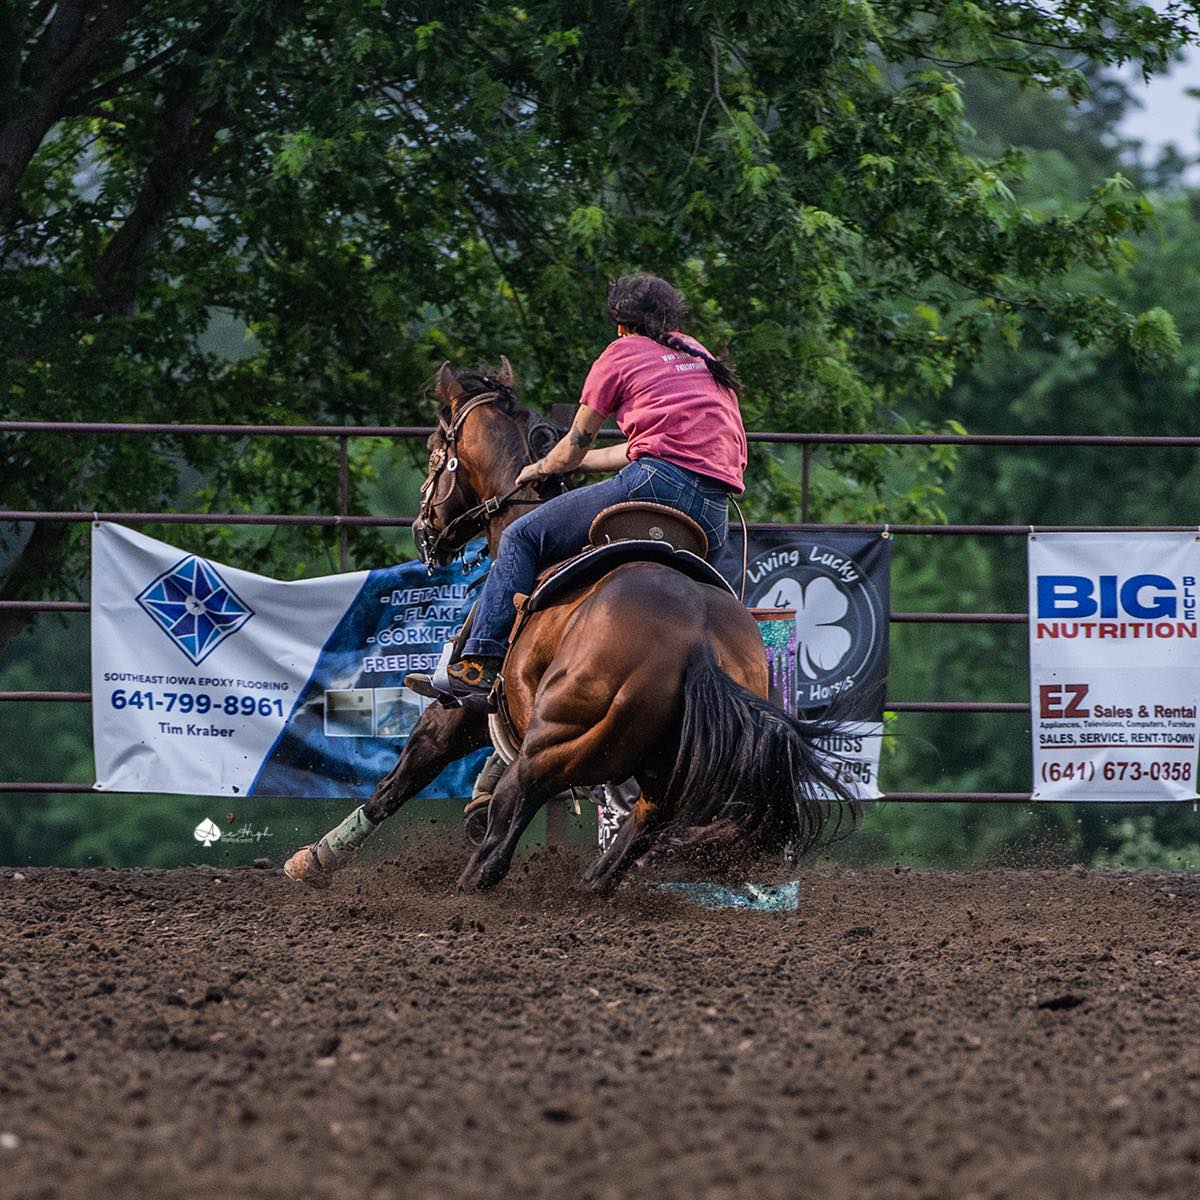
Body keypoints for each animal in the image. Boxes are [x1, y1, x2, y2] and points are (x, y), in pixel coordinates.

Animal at [283, 359, 855, 893]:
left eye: (433, 447)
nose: (423, 529)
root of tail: (697, 642)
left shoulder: (458, 711)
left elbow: (398, 781)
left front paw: (314, 860)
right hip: (657, 772)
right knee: (634, 833)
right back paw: (586, 887)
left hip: (554, 744)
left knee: (502, 835)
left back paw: (462, 895)